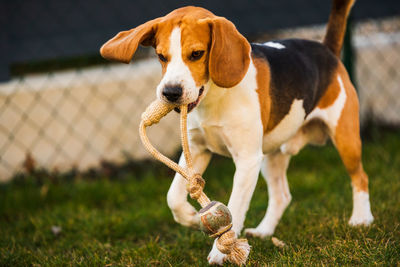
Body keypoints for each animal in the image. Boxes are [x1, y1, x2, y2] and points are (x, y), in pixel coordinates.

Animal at [100, 0, 372, 264]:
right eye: (161, 56)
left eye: (196, 54)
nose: (170, 93)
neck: (213, 97)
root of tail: (327, 50)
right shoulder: (197, 151)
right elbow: (173, 198)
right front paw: (191, 217)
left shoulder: (247, 160)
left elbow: (236, 207)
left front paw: (222, 251)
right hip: (271, 155)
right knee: (282, 195)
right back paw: (263, 231)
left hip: (345, 138)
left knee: (360, 177)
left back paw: (361, 219)